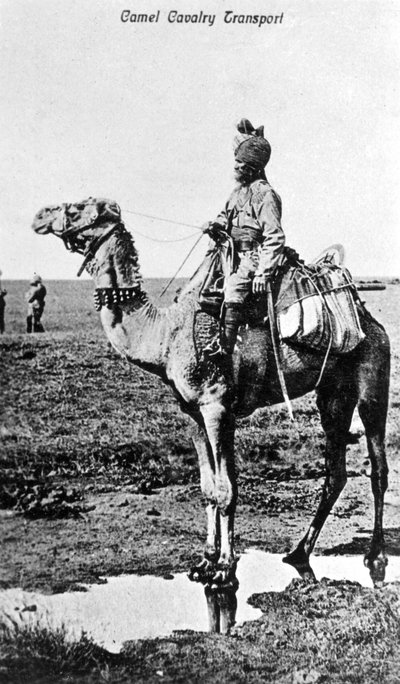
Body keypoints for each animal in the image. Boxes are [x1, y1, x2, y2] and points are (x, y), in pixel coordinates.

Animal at [32, 200, 390, 584]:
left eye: (76, 208)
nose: (39, 216)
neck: (163, 336)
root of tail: (368, 318)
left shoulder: (216, 407)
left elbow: (226, 489)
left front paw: (225, 567)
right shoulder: (194, 412)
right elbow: (209, 486)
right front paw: (205, 560)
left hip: (373, 379)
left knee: (378, 468)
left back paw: (376, 556)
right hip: (333, 394)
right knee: (335, 473)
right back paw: (298, 553)